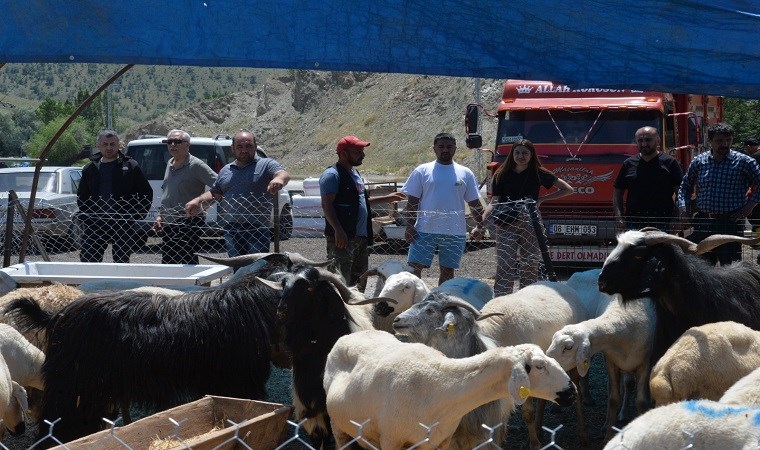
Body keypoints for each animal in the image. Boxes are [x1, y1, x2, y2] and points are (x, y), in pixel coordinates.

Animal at [322, 328, 576, 448]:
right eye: (539, 366)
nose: (571, 391)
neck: (441, 385)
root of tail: (350, 335)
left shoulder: (440, 441)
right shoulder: (391, 441)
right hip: (338, 427)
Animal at [544, 298, 656, 438]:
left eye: (568, 347)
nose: (545, 360)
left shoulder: (645, 363)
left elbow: (641, 402)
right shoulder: (611, 362)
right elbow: (613, 399)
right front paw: (608, 435)